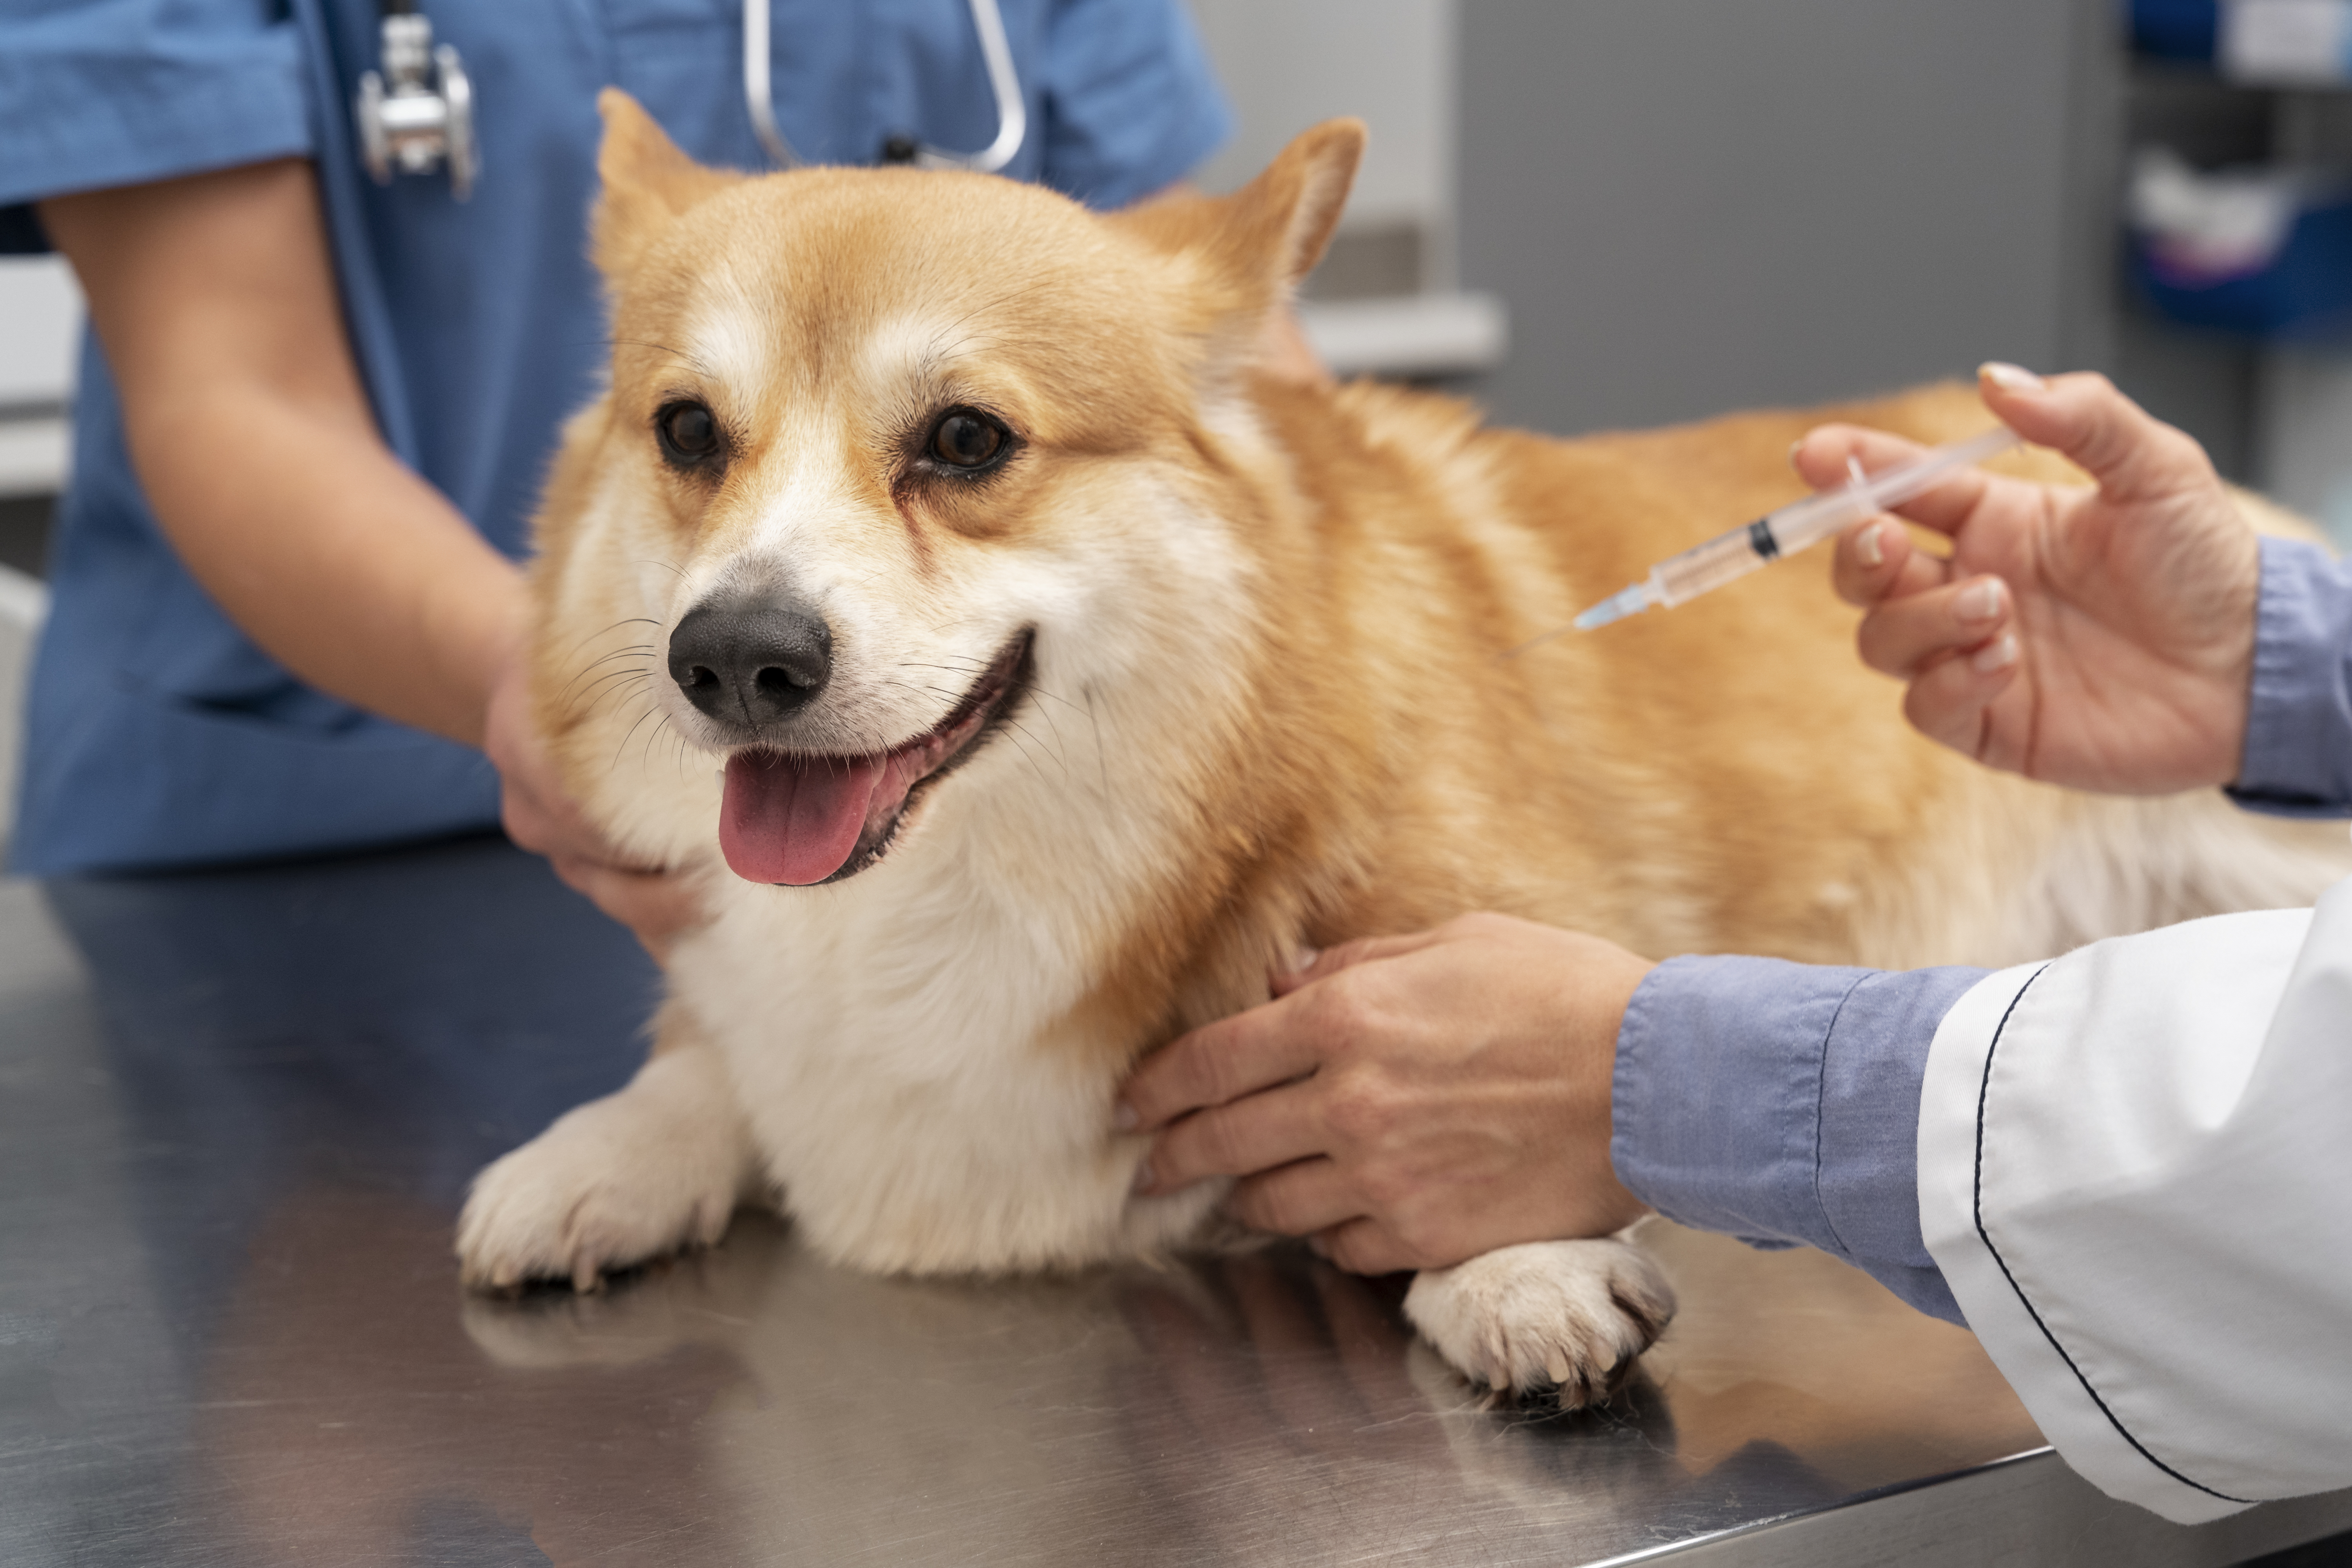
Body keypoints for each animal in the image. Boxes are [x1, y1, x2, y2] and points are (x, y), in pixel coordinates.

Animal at [449, 95, 2343, 1401]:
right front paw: (593, 1158)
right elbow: (700, 1062)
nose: (733, 657)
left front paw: (1511, 1269)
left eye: (967, 440)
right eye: (688, 432)